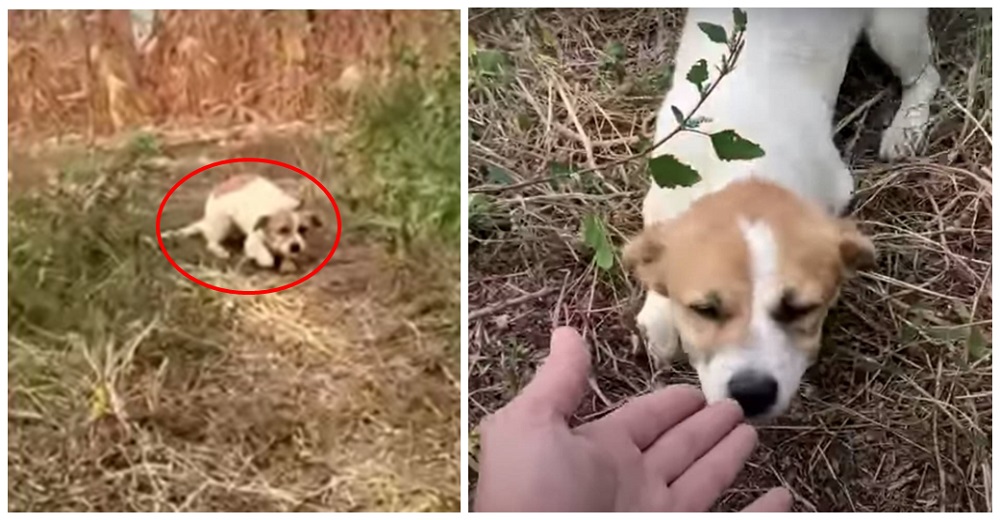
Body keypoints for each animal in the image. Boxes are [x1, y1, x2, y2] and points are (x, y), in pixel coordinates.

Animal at [624, 8, 936, 418]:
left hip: (894, 30)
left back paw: (907, 125)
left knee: (926, 75)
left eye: (800, 309)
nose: (752, 394)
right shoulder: (661, 194)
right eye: (705, 310)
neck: (746, 166)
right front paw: (660, 319)